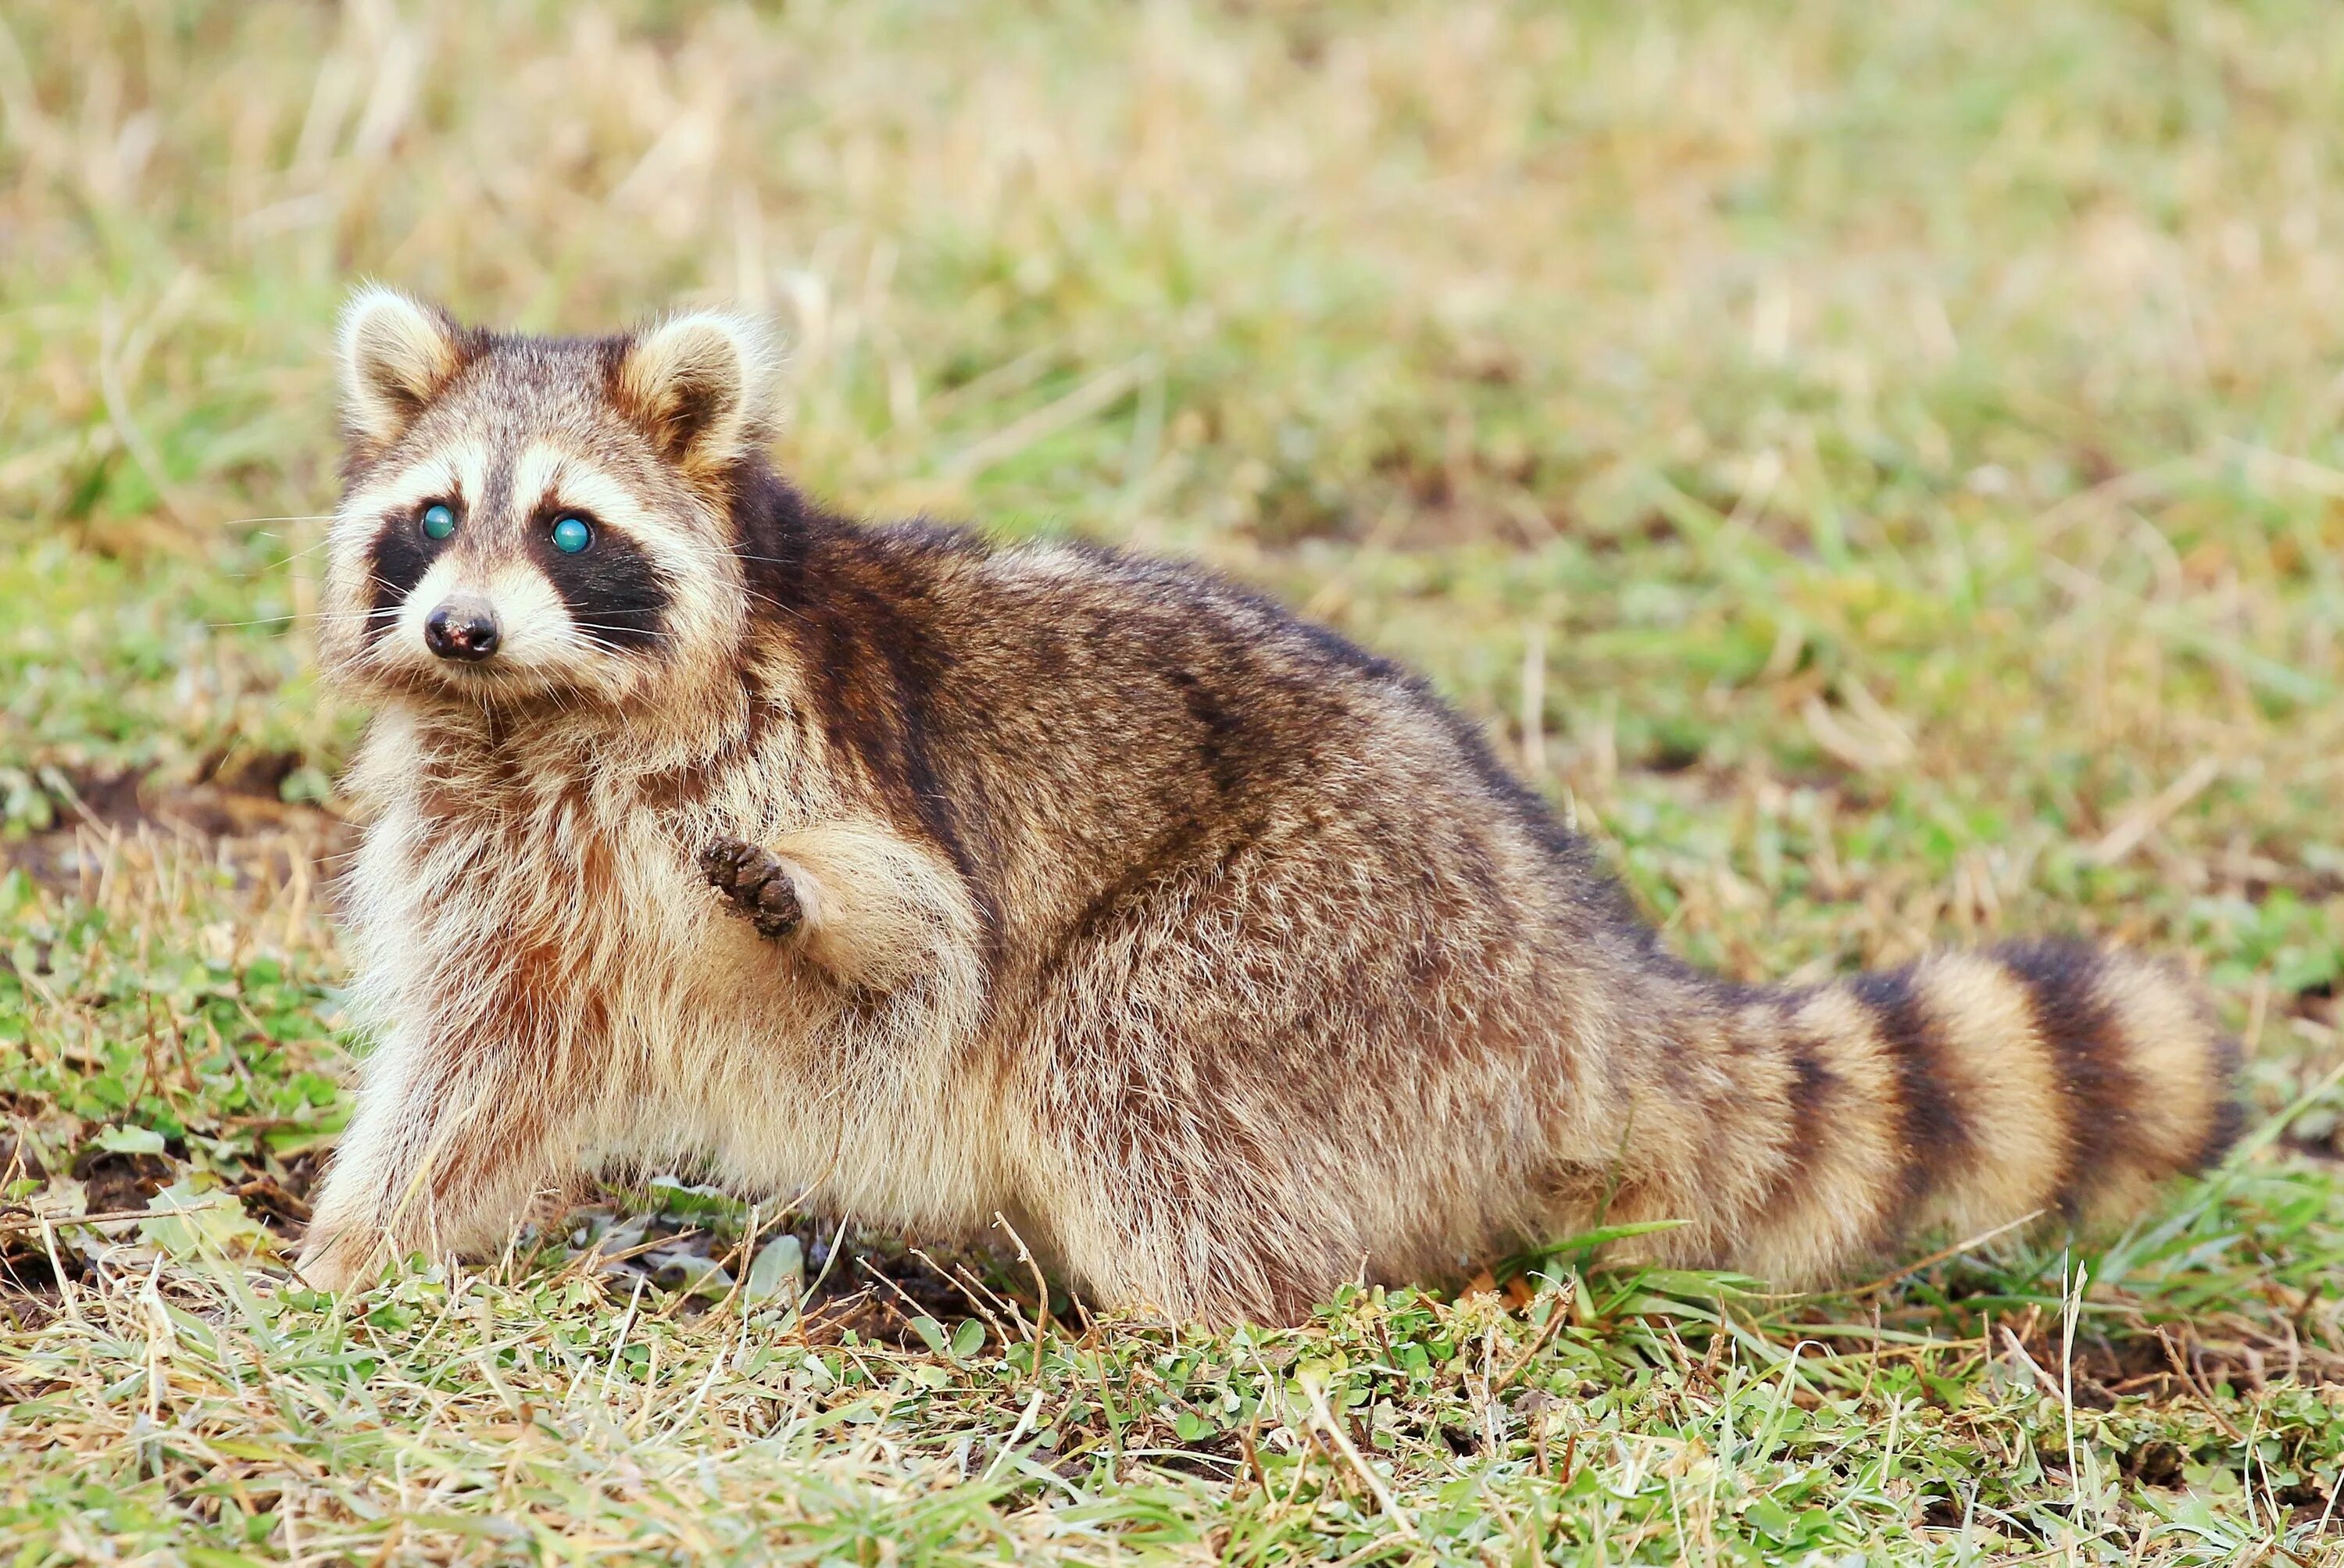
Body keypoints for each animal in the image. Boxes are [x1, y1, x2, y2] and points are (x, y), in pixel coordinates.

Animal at [295, 288, 2243, 1323]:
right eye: (433, 518)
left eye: (567, 527)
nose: (461, 625)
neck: (540, 718)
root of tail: (1588, 973)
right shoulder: (501, 858)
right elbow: (481, 1060)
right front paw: (358, 1244)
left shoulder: (813, 758)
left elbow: (927, 947)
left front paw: (813, 906)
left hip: (1327, 944)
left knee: (1120, 1045)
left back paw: (1189, 1322)